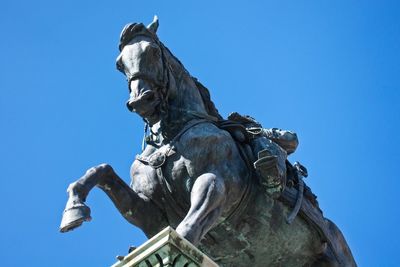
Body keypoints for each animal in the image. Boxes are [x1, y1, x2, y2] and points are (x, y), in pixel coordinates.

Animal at [61, 17, 356, 266]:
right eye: (119, 63)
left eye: (153, 51)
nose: (141, 100)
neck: (170, 137)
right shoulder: (152, 214)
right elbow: (102, 172)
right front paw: (74, 209)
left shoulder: (217, 184)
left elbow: (187, 229)